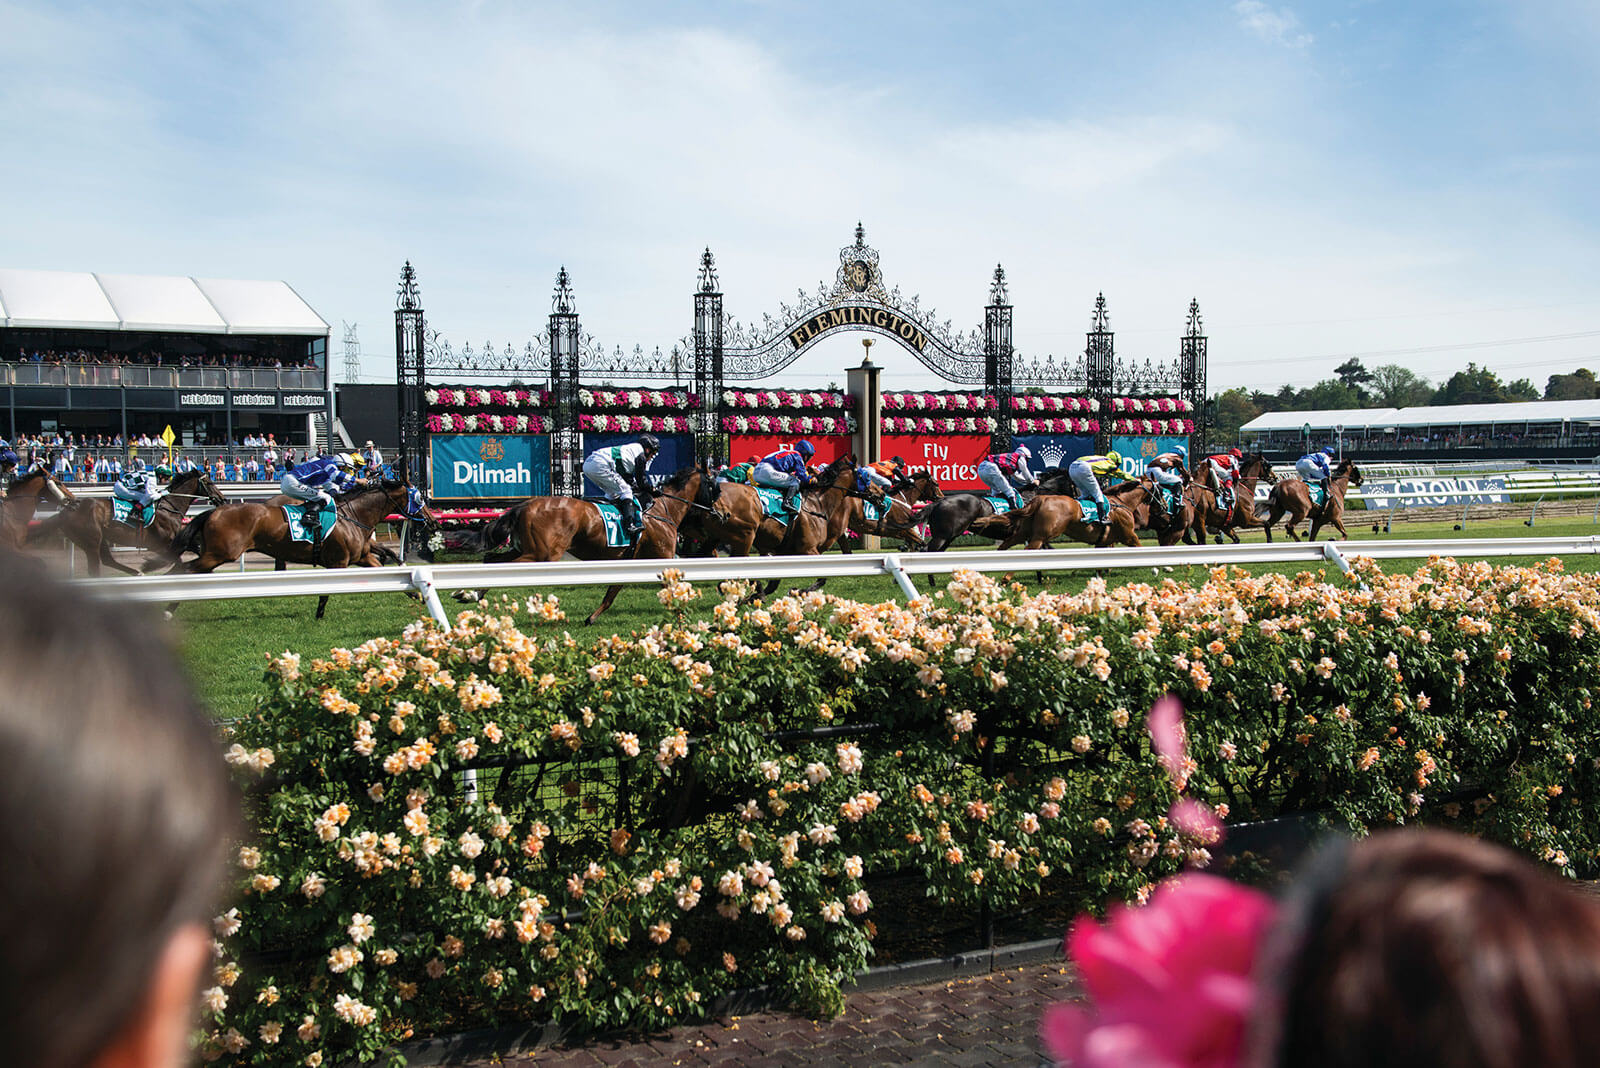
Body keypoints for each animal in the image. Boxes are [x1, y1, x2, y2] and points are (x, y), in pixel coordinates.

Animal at [28, 470, 225, 575]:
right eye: (209, 482)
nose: (222, 499)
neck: (169, 508)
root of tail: (67, 511)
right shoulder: (161, 544)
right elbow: (176, 562)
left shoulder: (177, 540)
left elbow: (196, 549)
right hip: (91, 540)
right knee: (95, 567)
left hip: (99, 539)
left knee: (107, 560)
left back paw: (136, 573)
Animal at [164, 476, 435, 617]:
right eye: (418, 499)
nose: (431, 521)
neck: (353, 515)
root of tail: (214, 511)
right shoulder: (339, 563)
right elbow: (326, 592)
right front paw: (319, 614)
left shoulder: (361, 556)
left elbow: (384, 567)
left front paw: (418, 594)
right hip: (219, 554)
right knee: (184, 570)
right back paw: (168, 610)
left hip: (213, 555)